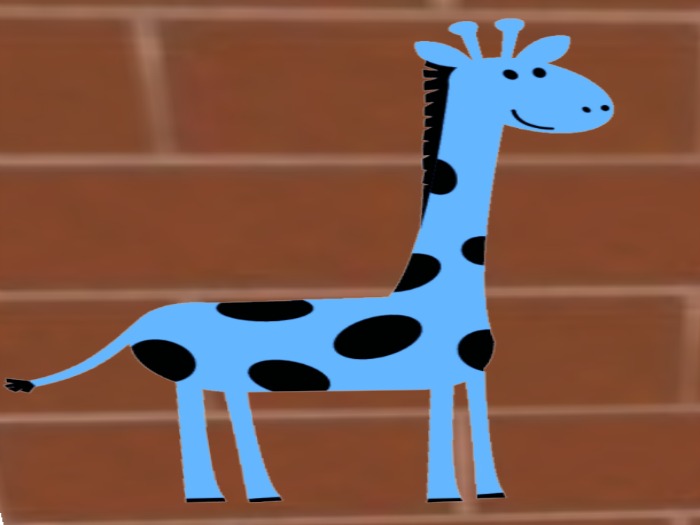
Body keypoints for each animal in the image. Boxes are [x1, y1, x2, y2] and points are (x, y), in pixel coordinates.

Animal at [5, 19, 613, 504]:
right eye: (521, 73)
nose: (602, 106)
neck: (433, 289)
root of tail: (142, 322)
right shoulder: (441, 372)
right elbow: (445, 433)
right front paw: (443, 494)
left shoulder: (469, 373)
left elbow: (477, 430)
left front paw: (485, 492)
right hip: (206, 373)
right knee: (205, 417)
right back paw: (229, 494)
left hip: (210, 376)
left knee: (210, 413)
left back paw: (236, 493)